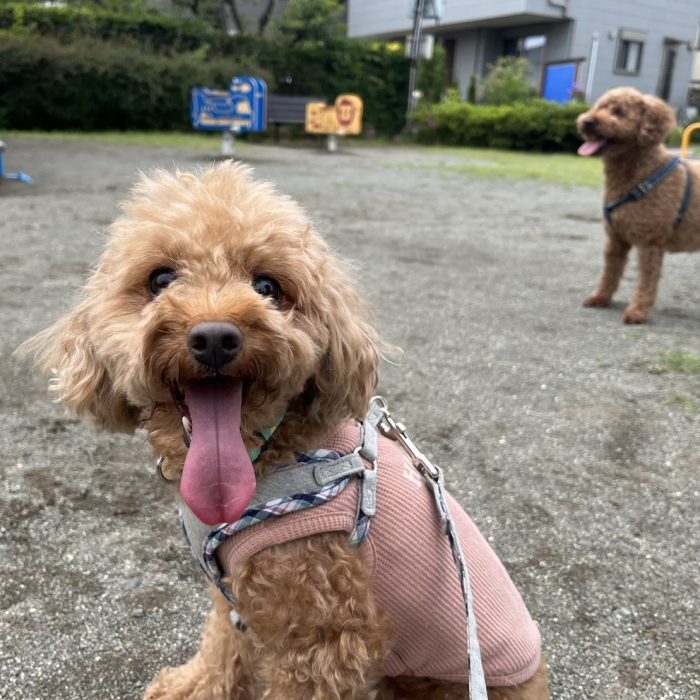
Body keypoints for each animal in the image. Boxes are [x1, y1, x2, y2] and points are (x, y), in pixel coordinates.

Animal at [26, 161, 552, 696]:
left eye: (267, 287)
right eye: (161, 278)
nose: (215, 337)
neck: (271, 455)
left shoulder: (323, 636)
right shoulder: (238, 598)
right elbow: (222, 644)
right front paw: (193, 686)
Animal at [576, 86, 696, 324]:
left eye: (620, 113)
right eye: (600, 107)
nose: (588, 121)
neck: (641, 174)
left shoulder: (650, 243)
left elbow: (647, 282)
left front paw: (638, 312)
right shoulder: (615, 239)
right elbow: (610, 272)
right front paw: (600, 298)